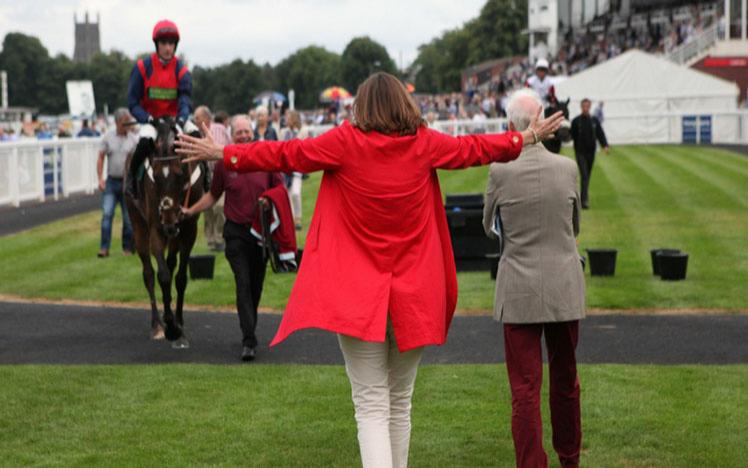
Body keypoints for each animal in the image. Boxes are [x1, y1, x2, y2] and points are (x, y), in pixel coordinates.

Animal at [124, 117, 205, 344]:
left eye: (181, 174)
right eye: (156, 176)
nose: (169, 221)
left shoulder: (188, 230)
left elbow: (180, 277)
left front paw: (179, 323)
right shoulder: (155, 228)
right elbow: (163, 276)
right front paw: (169, 325)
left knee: (171, 262)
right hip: (138, 224)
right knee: (148, 273)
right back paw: (157, 325)